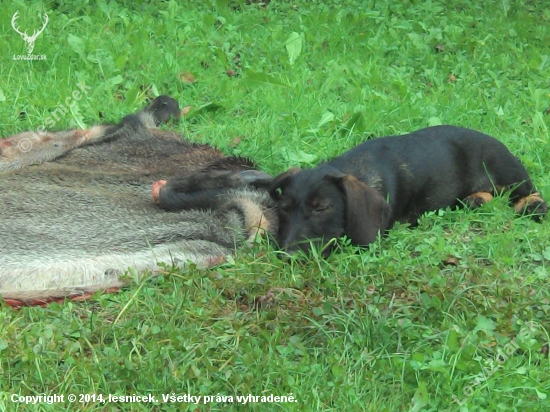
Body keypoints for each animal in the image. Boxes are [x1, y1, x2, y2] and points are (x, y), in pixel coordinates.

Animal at [270, 125, 548, 254]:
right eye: (284, 208)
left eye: (322, 209)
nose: (287, 255)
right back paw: (476, 199)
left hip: (505, 168)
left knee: (527, 190)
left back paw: (533, 205)